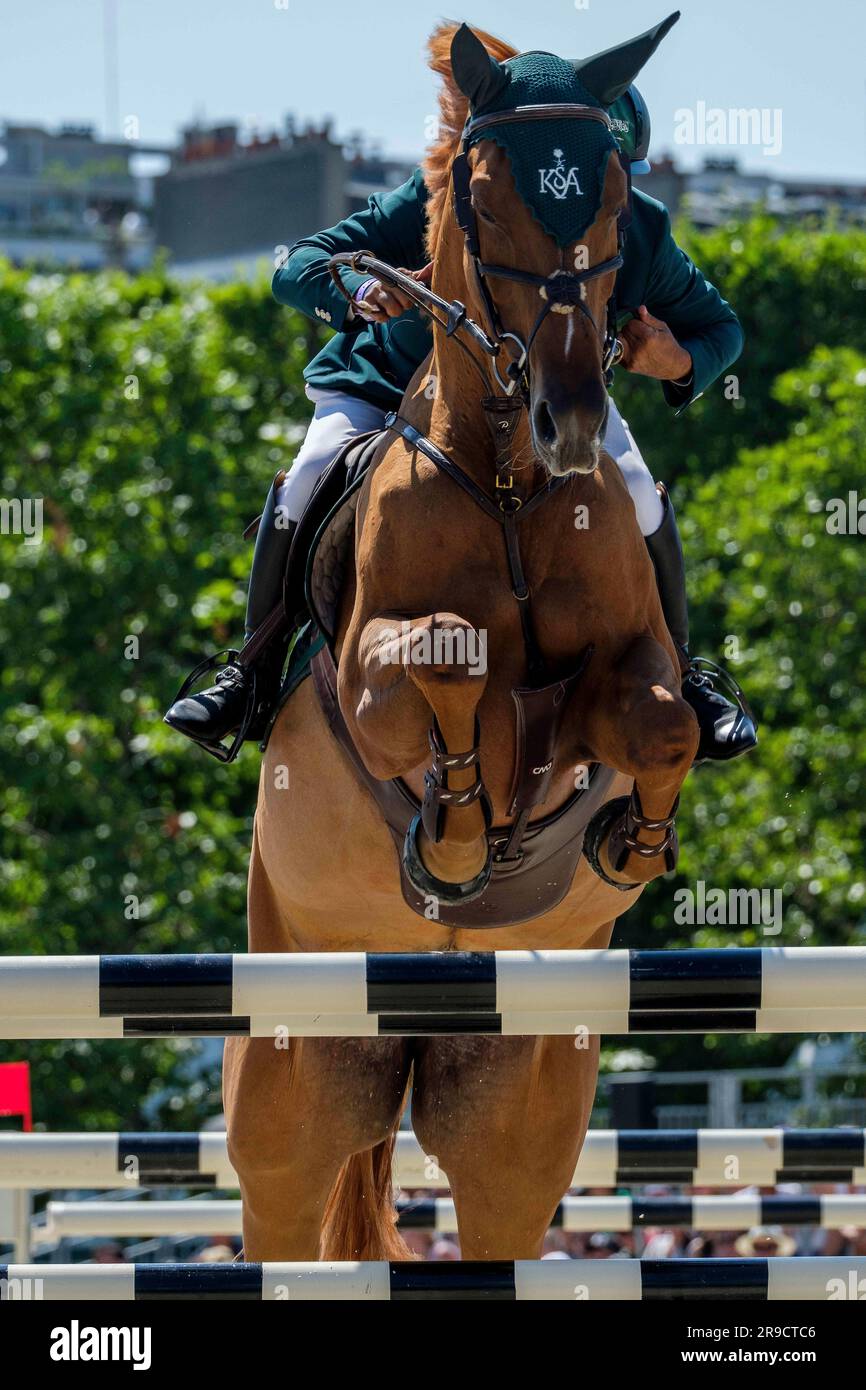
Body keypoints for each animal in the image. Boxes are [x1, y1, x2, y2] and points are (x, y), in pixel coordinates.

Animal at [223, 16, 697, 1267]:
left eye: (615, 198)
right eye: (477, 201)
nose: (569, 419)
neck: (510, 486)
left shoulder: (620, 676)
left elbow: (659, 719)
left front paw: (628, 842)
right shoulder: (364, 678)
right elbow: (444, 658)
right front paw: (453, 829)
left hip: (517, 1104)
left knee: (498, 1203)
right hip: (289, 1077)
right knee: (282, 1204)